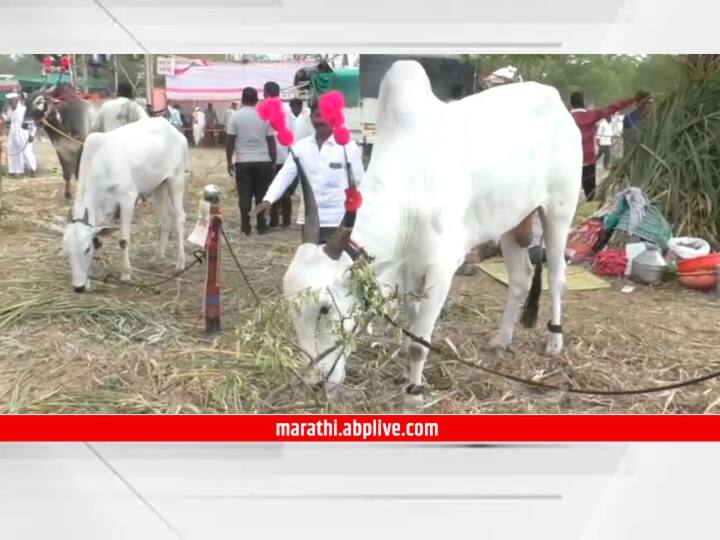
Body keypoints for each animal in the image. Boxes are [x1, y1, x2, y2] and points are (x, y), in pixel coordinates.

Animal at [64, 117, 188, 292]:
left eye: (86, 249)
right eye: (66, 251)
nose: (78, 287)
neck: (101, 163)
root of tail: (171, 127)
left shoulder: (128, 198)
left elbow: (123, 240)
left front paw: (126, 273)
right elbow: (99, 238)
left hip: (176, 179)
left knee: (179, 218)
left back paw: (180, 262)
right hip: (159, 186)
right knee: (165, 220)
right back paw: (157, 258)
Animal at [282, 61, 584, 400]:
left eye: (323, 308)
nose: (315, 383)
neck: (410, 186)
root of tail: (556, 101)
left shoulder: (440, 269)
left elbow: (419, 345)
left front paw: (414, 392)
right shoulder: (407, 270)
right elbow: (411, 327)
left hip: (559, 212)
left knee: (556, 277)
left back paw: (554, 339)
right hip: (510, 223)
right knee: (520, 278)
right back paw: (501, 339)